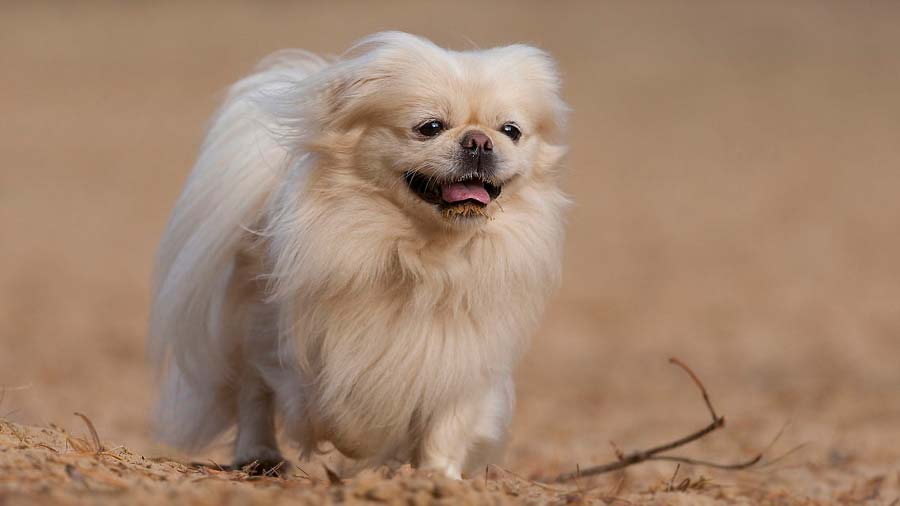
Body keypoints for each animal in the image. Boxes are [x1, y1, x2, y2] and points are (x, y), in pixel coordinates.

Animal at [150, 31, 568, 478]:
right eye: (430, 127)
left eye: (511, 131)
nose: (479, 140)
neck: (429, 255)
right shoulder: (317, 351)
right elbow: (342, 410)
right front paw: (366, 443)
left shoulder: (462, 353)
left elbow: (448, 421)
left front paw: (437, 476)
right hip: (256, 328)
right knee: (253, 394)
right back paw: (259, 456)